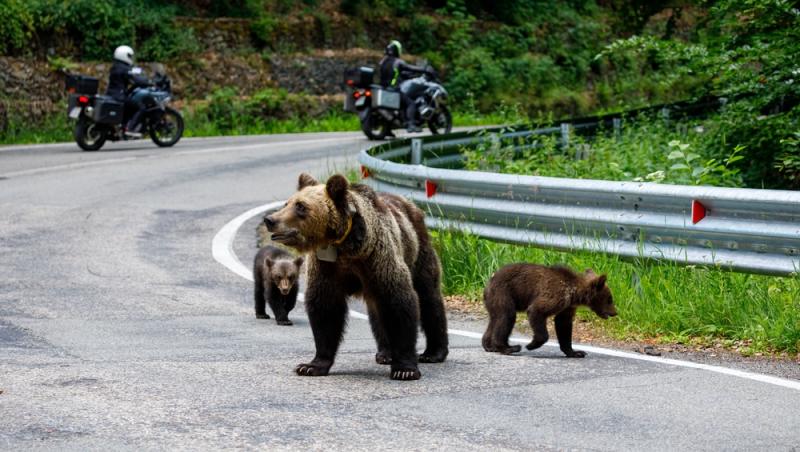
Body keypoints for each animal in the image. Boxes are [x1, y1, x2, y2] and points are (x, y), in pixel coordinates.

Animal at [264, 173, 446, 382]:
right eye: (287, 203)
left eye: (301, 206)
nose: (270, 219)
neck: (343, 246)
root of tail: (410, 203)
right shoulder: (327, 267)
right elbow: (325, 309)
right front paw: (311, 366)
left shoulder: (378, 259)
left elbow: (399, 303)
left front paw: (405, 369)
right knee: (377, 311)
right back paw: (385, 353)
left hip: (418, 251)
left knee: (428, 297)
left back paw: (434, 352)